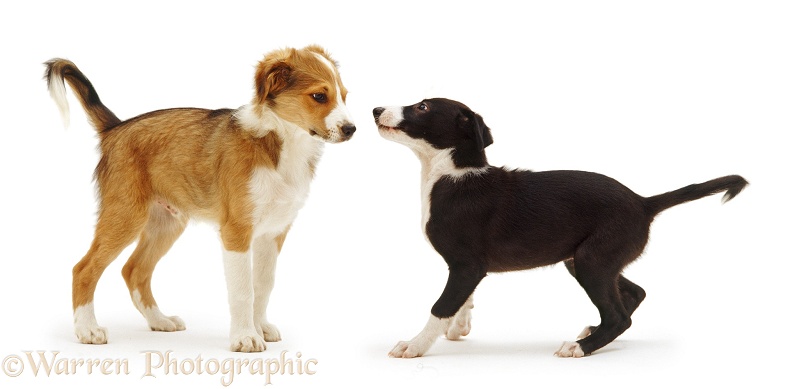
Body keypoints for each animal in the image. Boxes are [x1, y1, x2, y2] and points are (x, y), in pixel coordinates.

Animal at [44, 45, 356, 352]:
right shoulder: (236, 232)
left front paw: (260, 327)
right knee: (83, 269)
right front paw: (245, 337)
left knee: (134, 270)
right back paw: (87, 329)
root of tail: (115, 128)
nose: (351, 129)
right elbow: (243, 290)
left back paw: (159, 320)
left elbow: (263, 286)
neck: (283, 144)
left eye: (344, 96)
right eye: (319, 96)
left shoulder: (273, 233)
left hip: (166, 224)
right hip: (125, 216)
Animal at [372, 98, 748, 358]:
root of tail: (643, 202)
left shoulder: (466, 265)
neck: (452, 173)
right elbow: (461, 299)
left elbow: (442, 305)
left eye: (422, 106)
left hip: (592, 261)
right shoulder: (467, 269)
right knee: (635, 293)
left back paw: (581, 347)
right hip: (586, 260)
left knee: (619, 316)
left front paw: (415, 345)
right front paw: (460, 326)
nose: (375, 109)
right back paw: (592, 332)